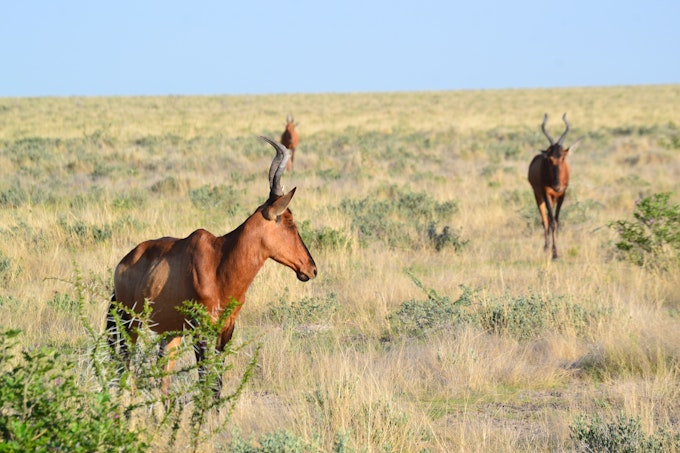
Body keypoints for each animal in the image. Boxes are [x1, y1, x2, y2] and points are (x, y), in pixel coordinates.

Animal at [107, 136, 317, 397]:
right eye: (289, 222)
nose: (311, 269)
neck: (219, 261)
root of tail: (122, 263)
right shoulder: (201, 330)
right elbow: (205, 380)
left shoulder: (226, 330)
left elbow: (216, 384)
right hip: (129, 324)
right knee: (124, 367)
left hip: (169, 332)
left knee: (162, 377)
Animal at [528, 113, 579, 260]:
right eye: (549, 159)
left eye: (563, 157)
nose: (557, 186)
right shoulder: (546, 194)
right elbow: (550, 221)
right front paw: (554, 253)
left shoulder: (562, 195)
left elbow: (556, 220)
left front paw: (556, 251)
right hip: (538, 196)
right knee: (544, 220)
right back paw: (546, 248)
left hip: (554, 198)